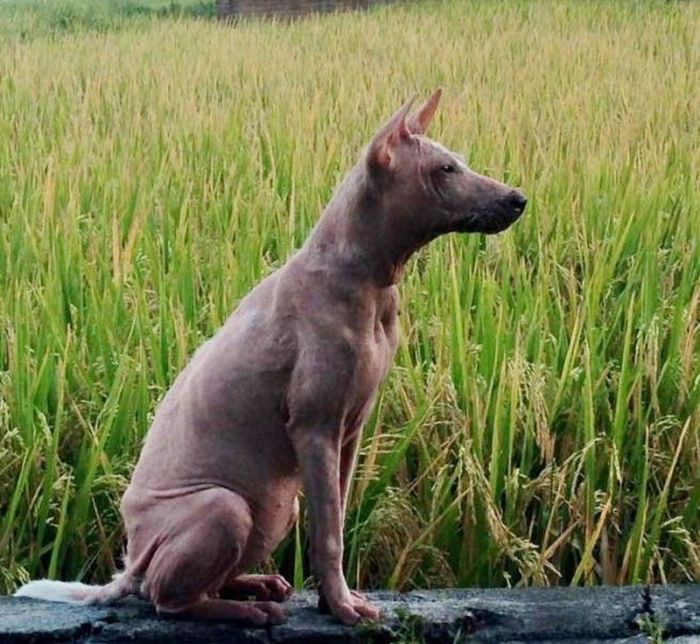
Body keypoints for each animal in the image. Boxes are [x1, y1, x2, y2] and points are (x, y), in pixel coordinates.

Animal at [16, 90, 524, 624]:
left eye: (460, 162)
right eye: (445, 169)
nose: (518, 199)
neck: (369, 278)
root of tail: (128, 564)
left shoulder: (349, 431)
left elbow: (337, 515)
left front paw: (332, 600)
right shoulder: (315, 427)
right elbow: (330, 534)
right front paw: (342, 606)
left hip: (275, 508)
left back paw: (254, 585)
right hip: (223, 506)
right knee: (166, 599)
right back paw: (243, 610)